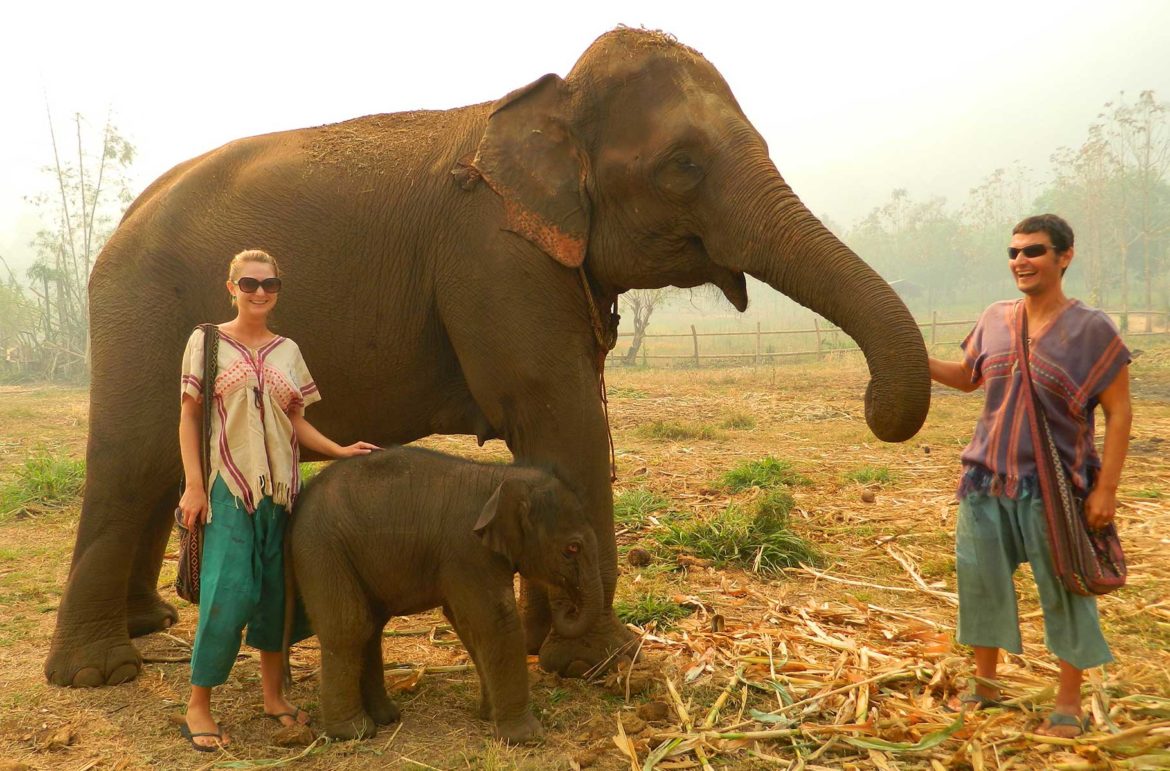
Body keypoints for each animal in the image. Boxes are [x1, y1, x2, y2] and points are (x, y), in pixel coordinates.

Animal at [45, 27, 926, 687]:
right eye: (683, 165)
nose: (875, 404)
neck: (550, 102)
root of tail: (117, 232)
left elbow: (559, 426)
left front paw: (548, 642)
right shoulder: (494, 255)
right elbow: (559, 415)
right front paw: (598, 660)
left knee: (167, 463)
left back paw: (150, 622)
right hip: (140, 313)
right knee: (131, 458)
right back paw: (99, 672)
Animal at [286, 449, 599, 744]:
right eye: (572, 548)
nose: (569, 608)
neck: (500, 479)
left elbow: (467, 624)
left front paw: (488, 715)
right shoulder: (467, 551)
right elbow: (494, 621)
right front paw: (526, 737)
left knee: (369, 628)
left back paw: (385, 717)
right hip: (321, 550)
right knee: (349, 627)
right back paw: (355, 732)